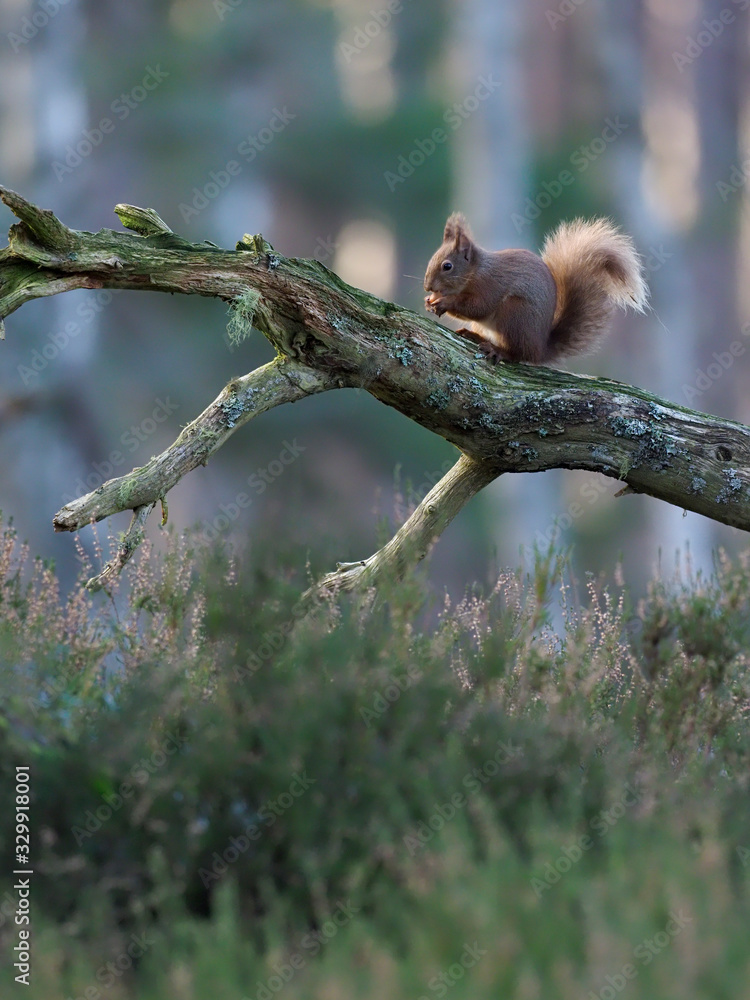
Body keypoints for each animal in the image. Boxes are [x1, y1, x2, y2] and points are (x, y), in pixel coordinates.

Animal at [426, 213, 648, 366]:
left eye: (447, 266)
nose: (427, 286)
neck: (476, 271)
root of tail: (540, 348)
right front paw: (430, 302)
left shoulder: (490, 285)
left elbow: (478, 307)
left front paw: (444, 302)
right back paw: (475, 336)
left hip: (515, 314)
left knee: (518, 354)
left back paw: (498, 351)